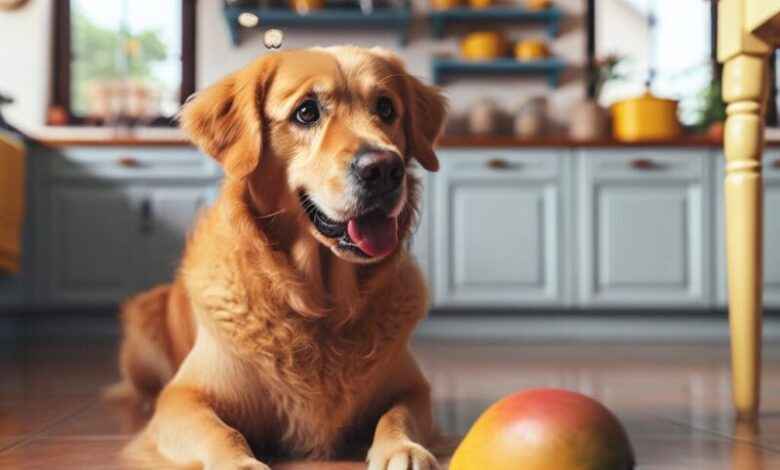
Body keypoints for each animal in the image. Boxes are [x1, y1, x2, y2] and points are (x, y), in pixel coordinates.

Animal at [112, 45, 448, 470]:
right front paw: (240, 464)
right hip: (144, 318)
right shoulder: (183, 397)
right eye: (307, 112)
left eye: (386, 109)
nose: (385, 168)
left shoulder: (413, 388)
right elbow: (221, 431)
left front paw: (402, 449)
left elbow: (397, 415)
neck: (321, 307)